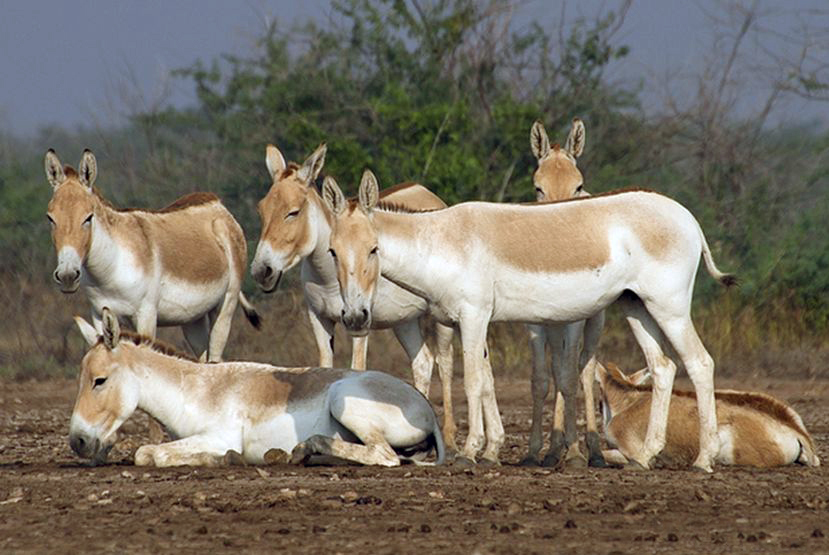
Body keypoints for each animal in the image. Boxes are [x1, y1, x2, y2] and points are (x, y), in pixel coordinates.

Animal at [45, 150, 258, 362]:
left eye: (88, 217)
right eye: (50, 218)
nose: (67, 276)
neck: (112, 268)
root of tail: (218, 204)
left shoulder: (146, 314)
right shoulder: (98, 315)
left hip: (226, 305)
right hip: (193, 317)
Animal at [69, 308, 446, 470]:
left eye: (99, 380)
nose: (78, 442)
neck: (195, 390)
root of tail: (428, 410)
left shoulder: (219, 435)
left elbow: (150, 454)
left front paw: (224, 458)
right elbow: (148, 452)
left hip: (344, 400)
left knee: (385, 457)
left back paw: (305, 449)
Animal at [251, 147, 460, 452]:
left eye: (293, 212)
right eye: (261, 210)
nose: (261, 271)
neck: (328, 276)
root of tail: (424, 190)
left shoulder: (361, 322)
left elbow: (356, 368)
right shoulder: (319, 319)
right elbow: (325, 366)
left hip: (440, 318)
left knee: (445, 362)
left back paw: (452, 439)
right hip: (404, 320)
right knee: (422, 362)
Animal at [322, 172, 732, 472]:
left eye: (374, 249)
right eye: (333, 252)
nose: (355, 317)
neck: (443, 243)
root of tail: (687, 217)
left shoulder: (473, 315)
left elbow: (473, 383)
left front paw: (469, 453)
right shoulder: (473, 321)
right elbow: (487, 382)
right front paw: (489, 450)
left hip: (669, 306)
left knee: (700, 363)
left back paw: (703, 460)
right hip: (638, 307)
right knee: (663, 368)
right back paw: (645, 457)